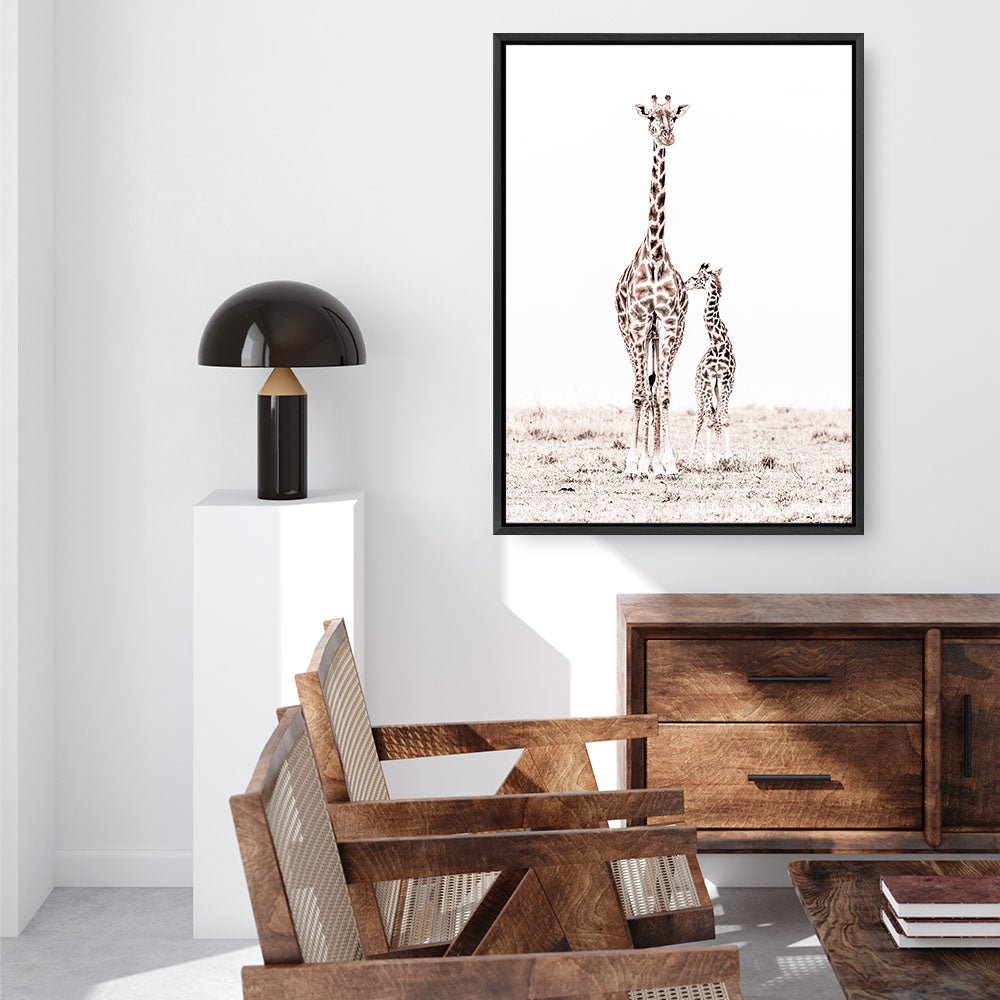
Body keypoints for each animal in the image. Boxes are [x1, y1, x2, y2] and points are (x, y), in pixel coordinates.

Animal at [684, 263, 735, 465]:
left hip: (717, 388)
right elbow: (708, 420)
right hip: (699, 391)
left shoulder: (726, 380)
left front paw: (727, 457)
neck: (717, 342)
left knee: (716, 415)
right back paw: (690, 459)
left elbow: (724, 418)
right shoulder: (707, 380)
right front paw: (708, 459)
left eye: (694, 277)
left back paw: (719, 455)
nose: (684, 284)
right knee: (699, 419)